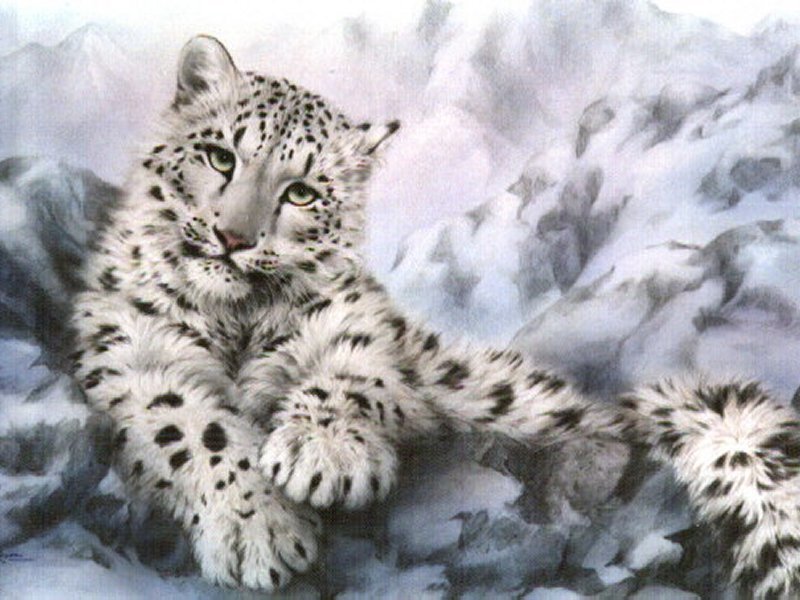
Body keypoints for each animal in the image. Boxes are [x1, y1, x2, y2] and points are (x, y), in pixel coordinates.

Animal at [71, 35, 800, 597]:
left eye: (301, 192)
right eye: (221, 156)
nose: (232, 238)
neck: (240, 319)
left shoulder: (360, 332)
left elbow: (349, 375)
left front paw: (323, 453)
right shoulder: (134, 357)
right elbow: (198, 428)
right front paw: (260, 531)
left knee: (594, 423)